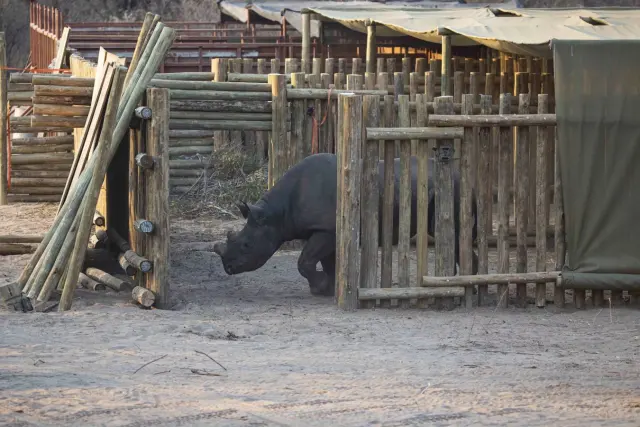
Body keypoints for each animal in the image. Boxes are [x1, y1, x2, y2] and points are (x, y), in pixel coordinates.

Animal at [213, 153, 478, 296]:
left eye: (246, 245)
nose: (227, 268)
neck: (275, 214)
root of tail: (459, 174)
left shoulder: (326, 229)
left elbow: (305, 261)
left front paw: (321, 287)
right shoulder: (325, 230)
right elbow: (326, 261)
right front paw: (327, 288)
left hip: (450, 189)